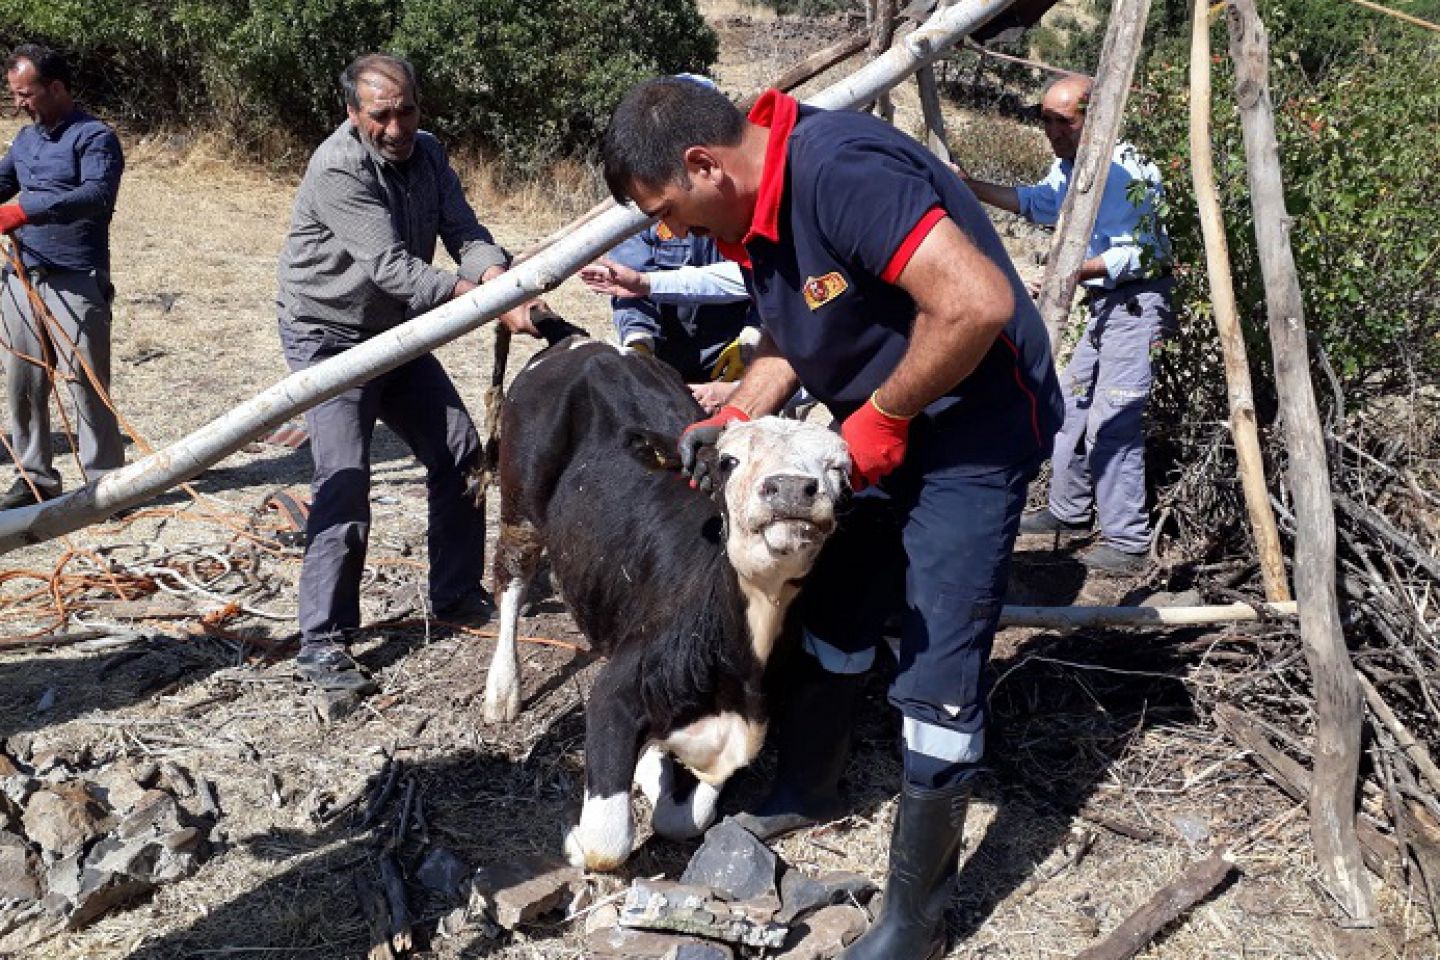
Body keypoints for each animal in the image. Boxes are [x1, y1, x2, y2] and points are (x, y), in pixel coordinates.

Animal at [483, 338, 846, 869]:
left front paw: (653, 769)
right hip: (521, 495)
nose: (791, 489)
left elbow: (687, 818)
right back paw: (502, 689)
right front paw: (576, 839)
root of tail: (587, 342)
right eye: (728, 462)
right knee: (512, 575)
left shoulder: (742, 732)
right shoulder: (614, 694)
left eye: (841, 469)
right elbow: (606, 841)